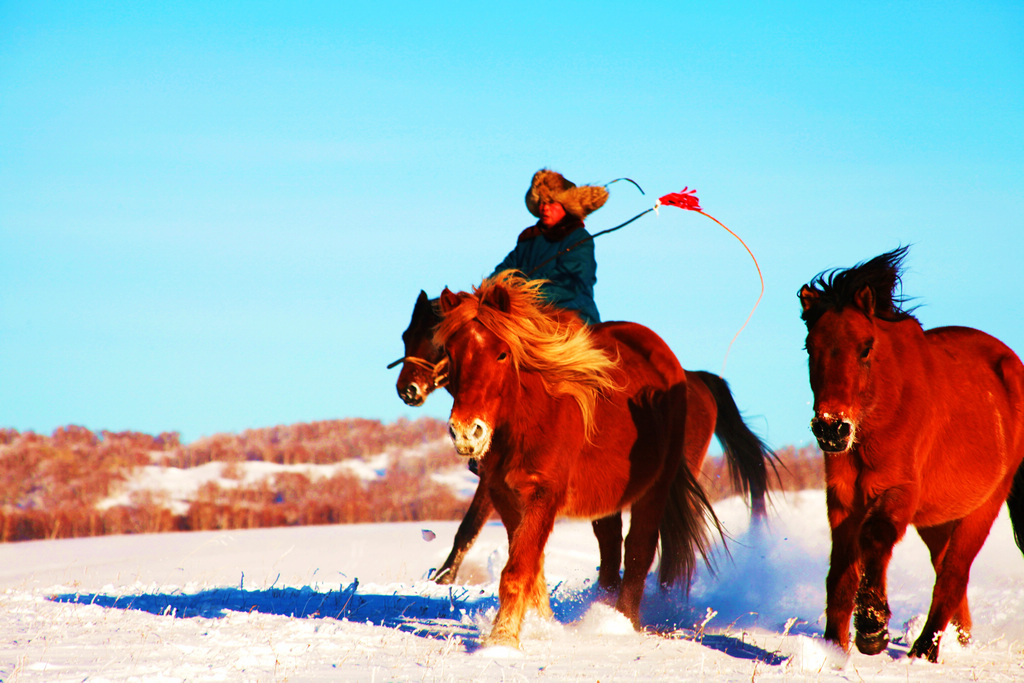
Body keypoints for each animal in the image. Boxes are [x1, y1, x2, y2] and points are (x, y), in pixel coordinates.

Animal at [798, 246, 1024, 663]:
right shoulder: (842, 500)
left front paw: (872, 629)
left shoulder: (898, 492)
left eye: (865, 347)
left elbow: (874, 540)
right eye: (810, 348)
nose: (831, 428)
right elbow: (840, 573)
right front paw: (833, 647)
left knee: (953, 573)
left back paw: (924, 651)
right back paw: (957, 641)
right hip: (938, 519)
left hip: (983, 508)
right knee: (945, 571)